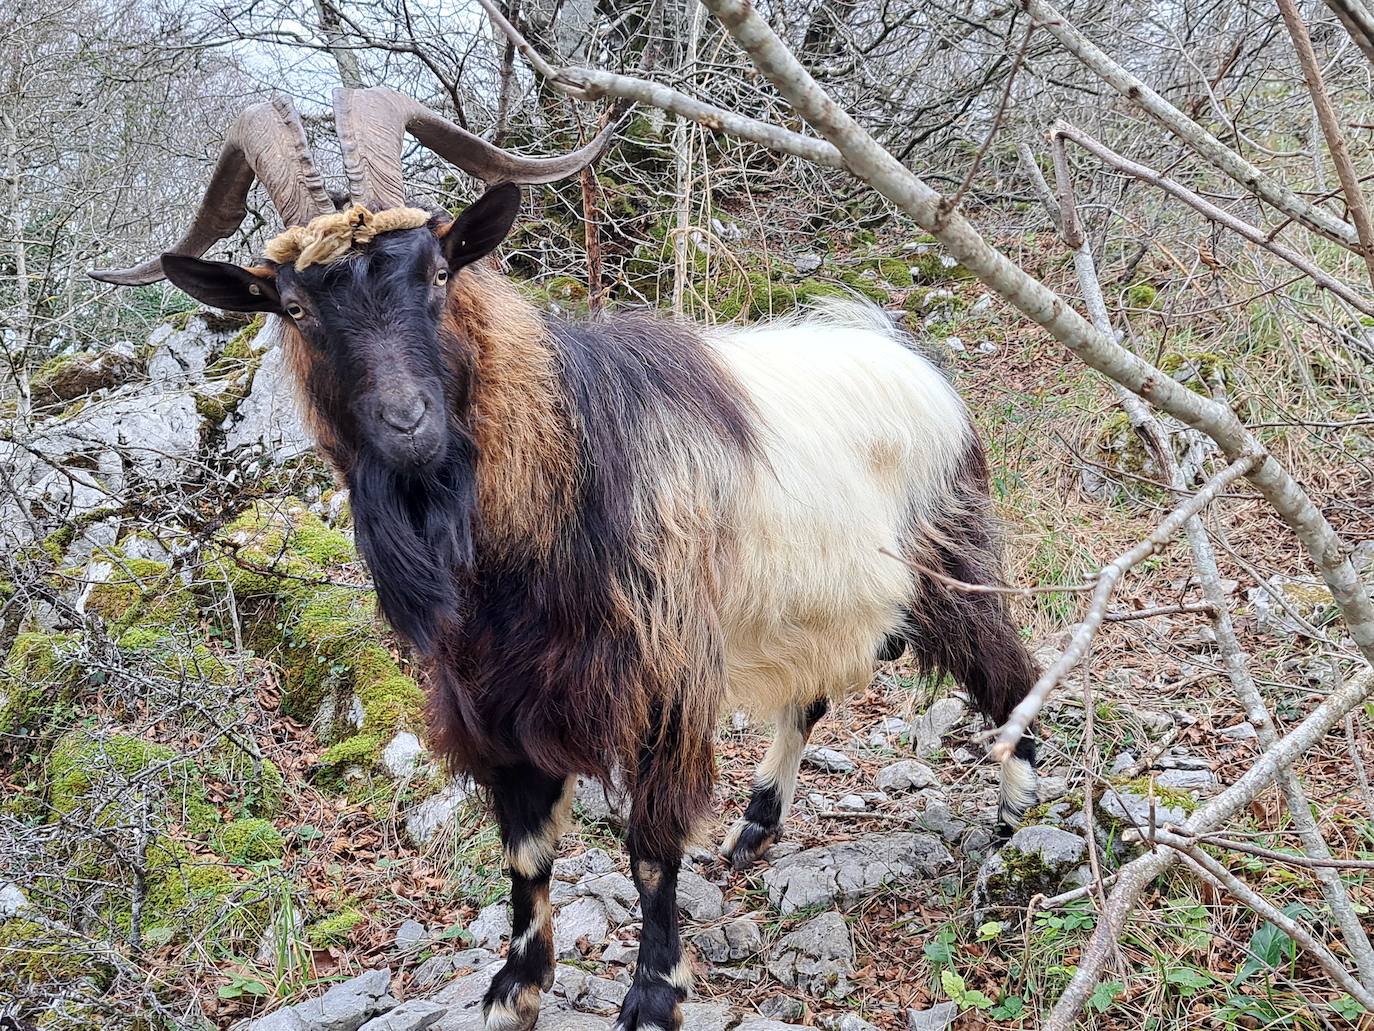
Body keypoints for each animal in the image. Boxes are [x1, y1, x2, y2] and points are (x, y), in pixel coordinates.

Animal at [96, 86, 1038, 1031]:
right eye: (293, 307)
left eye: (436, 272)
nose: (408, 424)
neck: (554, 482)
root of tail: (912, 361)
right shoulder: (494, 699)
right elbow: (525, 852)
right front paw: (516, 985)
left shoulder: (664, 678)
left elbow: (651, 850)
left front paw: (655, 993)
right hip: (815, 605)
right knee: (813, 692)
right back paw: (756, 826)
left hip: (945, 561)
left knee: (1011, 673)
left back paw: (1018, 821)